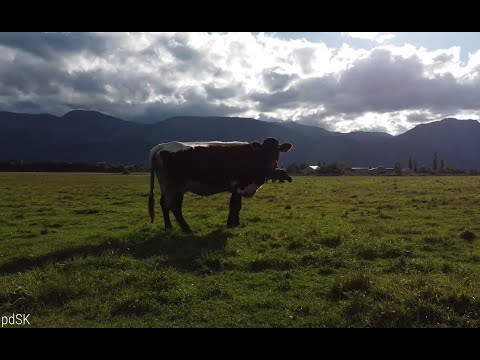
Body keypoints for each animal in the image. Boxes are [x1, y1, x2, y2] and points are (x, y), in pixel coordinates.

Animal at [148, 138, 294, 233]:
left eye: (277, 151)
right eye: (264, 151)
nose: (273, 164)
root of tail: (160, 147)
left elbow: (238, 206)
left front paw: (236, 223)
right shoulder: (239, 186)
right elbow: (235, 206)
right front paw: (231, 224)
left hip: (168, 186)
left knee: (165, 204)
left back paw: (170, 227)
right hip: (176, 186)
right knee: (173, 206)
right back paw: (183, 228)